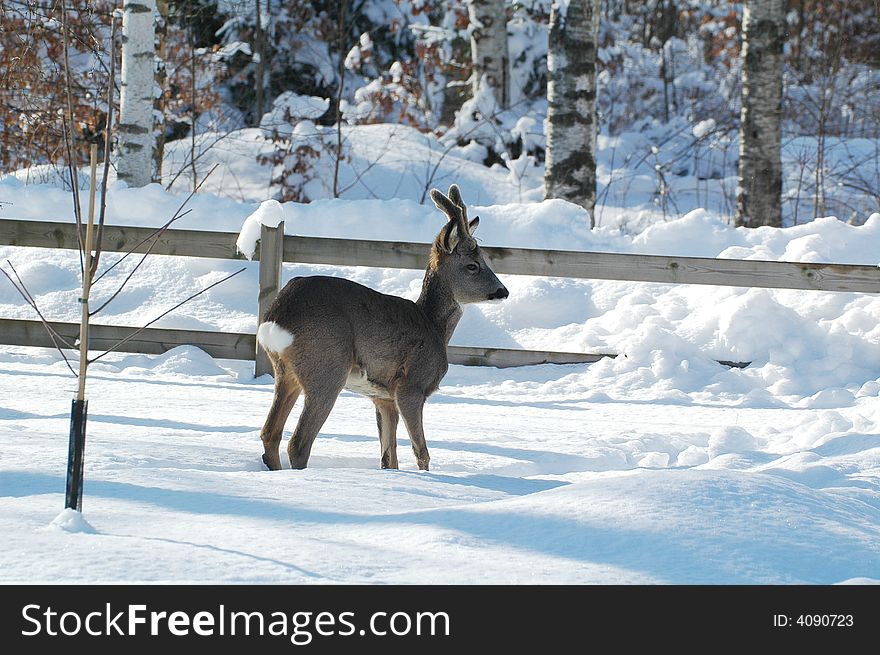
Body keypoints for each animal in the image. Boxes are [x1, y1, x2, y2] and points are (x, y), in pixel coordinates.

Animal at [254, 184, 508, 472]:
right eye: (472, 265)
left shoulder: (383, 397)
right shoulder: (411, 385)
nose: (503, 291)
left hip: (285, 372)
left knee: (269, 433)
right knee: (298, 442)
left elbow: (389, 457)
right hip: (327, 367)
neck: (434, 325)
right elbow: (421, 452)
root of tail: (276, 316)